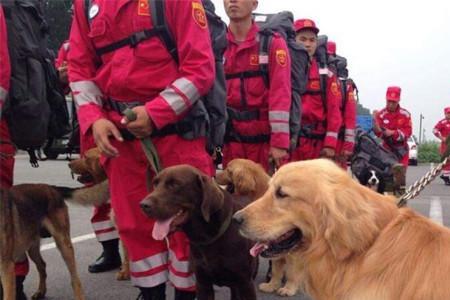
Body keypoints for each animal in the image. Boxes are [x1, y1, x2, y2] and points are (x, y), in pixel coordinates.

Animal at [141, 165, 260, 298]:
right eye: (155, 183)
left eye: (175, 184)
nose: (143, 205)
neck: (208, 238)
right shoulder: (202, 283)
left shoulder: (245, 284)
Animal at [217, 161, 304, 296]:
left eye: (228, 170)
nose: (214, 175)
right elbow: (276, 271)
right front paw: (271, 286)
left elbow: (292, 274)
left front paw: (289, 289)